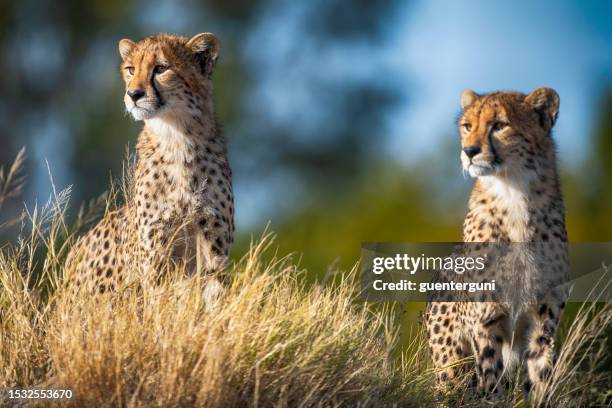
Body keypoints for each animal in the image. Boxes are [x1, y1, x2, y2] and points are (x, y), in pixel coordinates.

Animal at [66, 32, 234, 294]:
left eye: (161, 68)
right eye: (131, 69)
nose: (133, 94)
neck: (177, 138)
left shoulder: (213, 245)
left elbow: (214, 298)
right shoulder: (154, 251)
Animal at [426, 87, 568, 402]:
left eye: (499, 125)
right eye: (468, 126)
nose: (469, 151)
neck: (514, 195)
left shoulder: (543, 327)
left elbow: (540, 383)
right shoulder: (485, 323)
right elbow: (492, 383)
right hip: (450, 368)